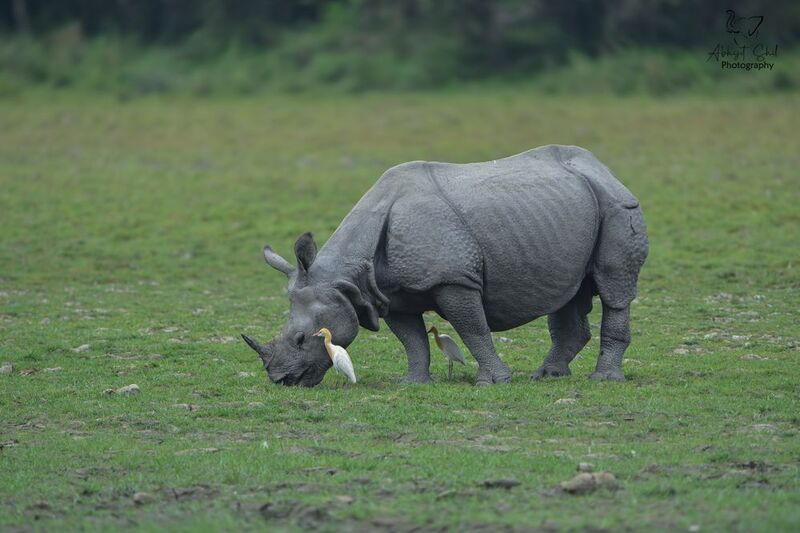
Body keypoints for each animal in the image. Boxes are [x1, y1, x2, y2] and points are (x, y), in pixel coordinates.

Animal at [242, 145, 648, 387]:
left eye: (301, 339)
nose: (282, 380)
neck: (347, 277)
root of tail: (603, 168)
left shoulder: (454, 279)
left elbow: (472, 328)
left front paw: (492, 382)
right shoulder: (388, 293)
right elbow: (412, 340)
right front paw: (413, 383)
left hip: (617, 205)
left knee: (613, 289)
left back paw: (603, 379)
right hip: (568, 211)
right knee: (569, 293)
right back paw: (548, 376)